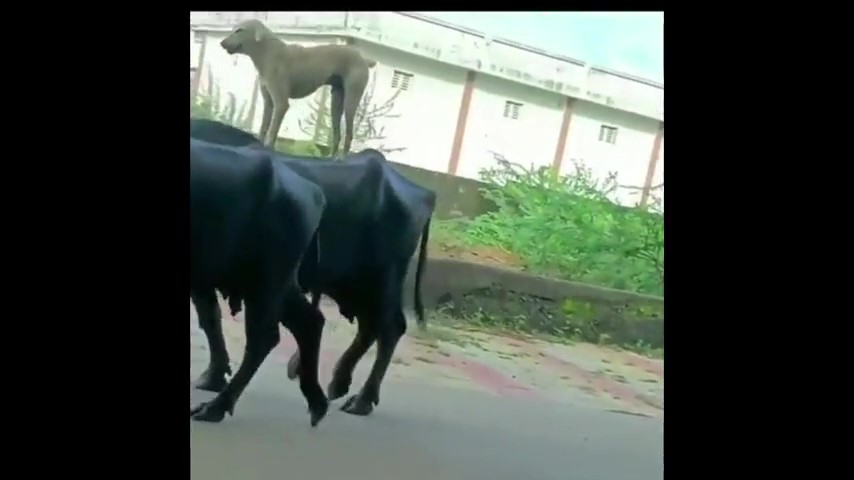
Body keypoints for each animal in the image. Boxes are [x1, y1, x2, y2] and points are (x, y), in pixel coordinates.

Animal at [220, 19, 377, 158]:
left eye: (239, 30)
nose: (222, 43)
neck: (267, 53)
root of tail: (363, 58)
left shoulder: (281, 104)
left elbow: (272, 130)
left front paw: (268, 148)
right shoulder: (269, 103)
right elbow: (264, 127)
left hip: (351, 101)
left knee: (349, 133)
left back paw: (342, 158)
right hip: (336, 102)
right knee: (337, 134)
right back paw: (330, 158)